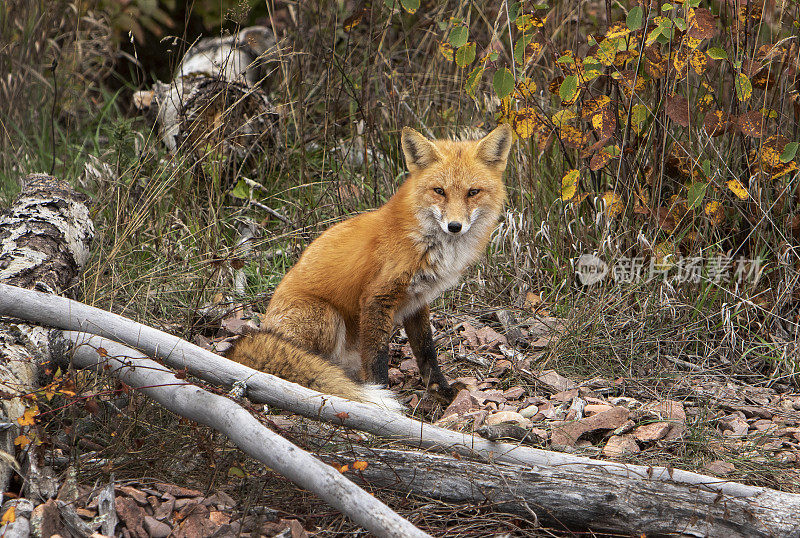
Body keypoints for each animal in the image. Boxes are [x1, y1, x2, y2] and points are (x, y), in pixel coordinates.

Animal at [227, 123, 512, 408]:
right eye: (439, 191)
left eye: (473, 192)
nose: (454, 226)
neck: (424, 241)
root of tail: (263, 330)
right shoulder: (377, 297)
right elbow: (377, 360)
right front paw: (384, 400)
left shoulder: (417, 300)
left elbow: (427, 352)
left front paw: (441, 391)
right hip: (327, 316)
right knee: (307, 361)